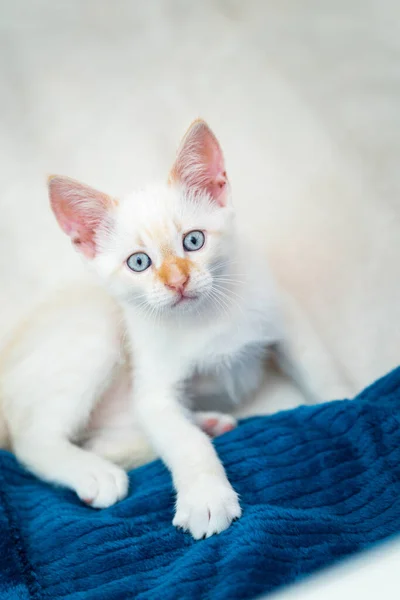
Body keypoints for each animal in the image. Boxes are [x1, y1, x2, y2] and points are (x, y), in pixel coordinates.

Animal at [0, 120, 282, 540]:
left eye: (193, 241)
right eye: (138, 263)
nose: (178, 282)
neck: (205, 317)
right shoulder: (154, 381)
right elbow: (181, 439)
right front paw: (206, 498)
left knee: (107, 437)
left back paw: (205, 423)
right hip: (96, 336)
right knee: (32, 440)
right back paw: (95, 472)